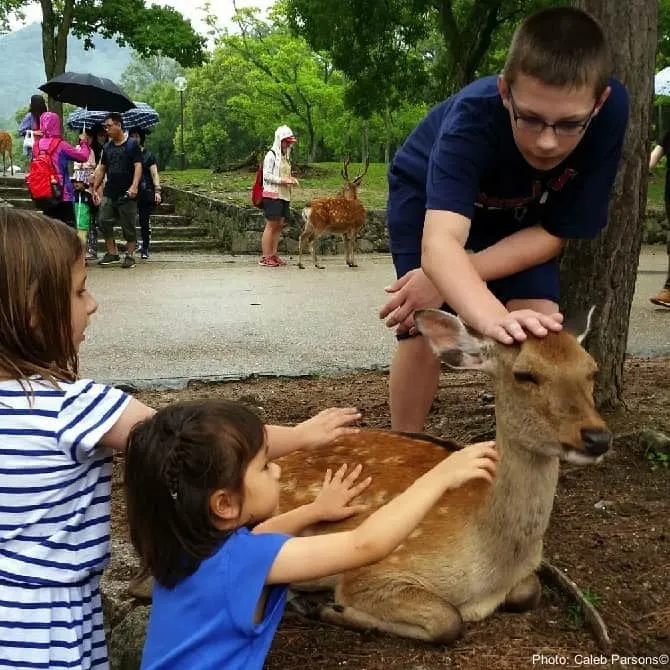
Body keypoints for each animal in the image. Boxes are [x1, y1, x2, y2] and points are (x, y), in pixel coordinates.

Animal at [276, 310, 612, 644]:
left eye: (592, 371)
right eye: (524, 374)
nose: (598, 437)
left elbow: (530, 591)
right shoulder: (374, 571)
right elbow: (447, 619)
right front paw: (328, 608)